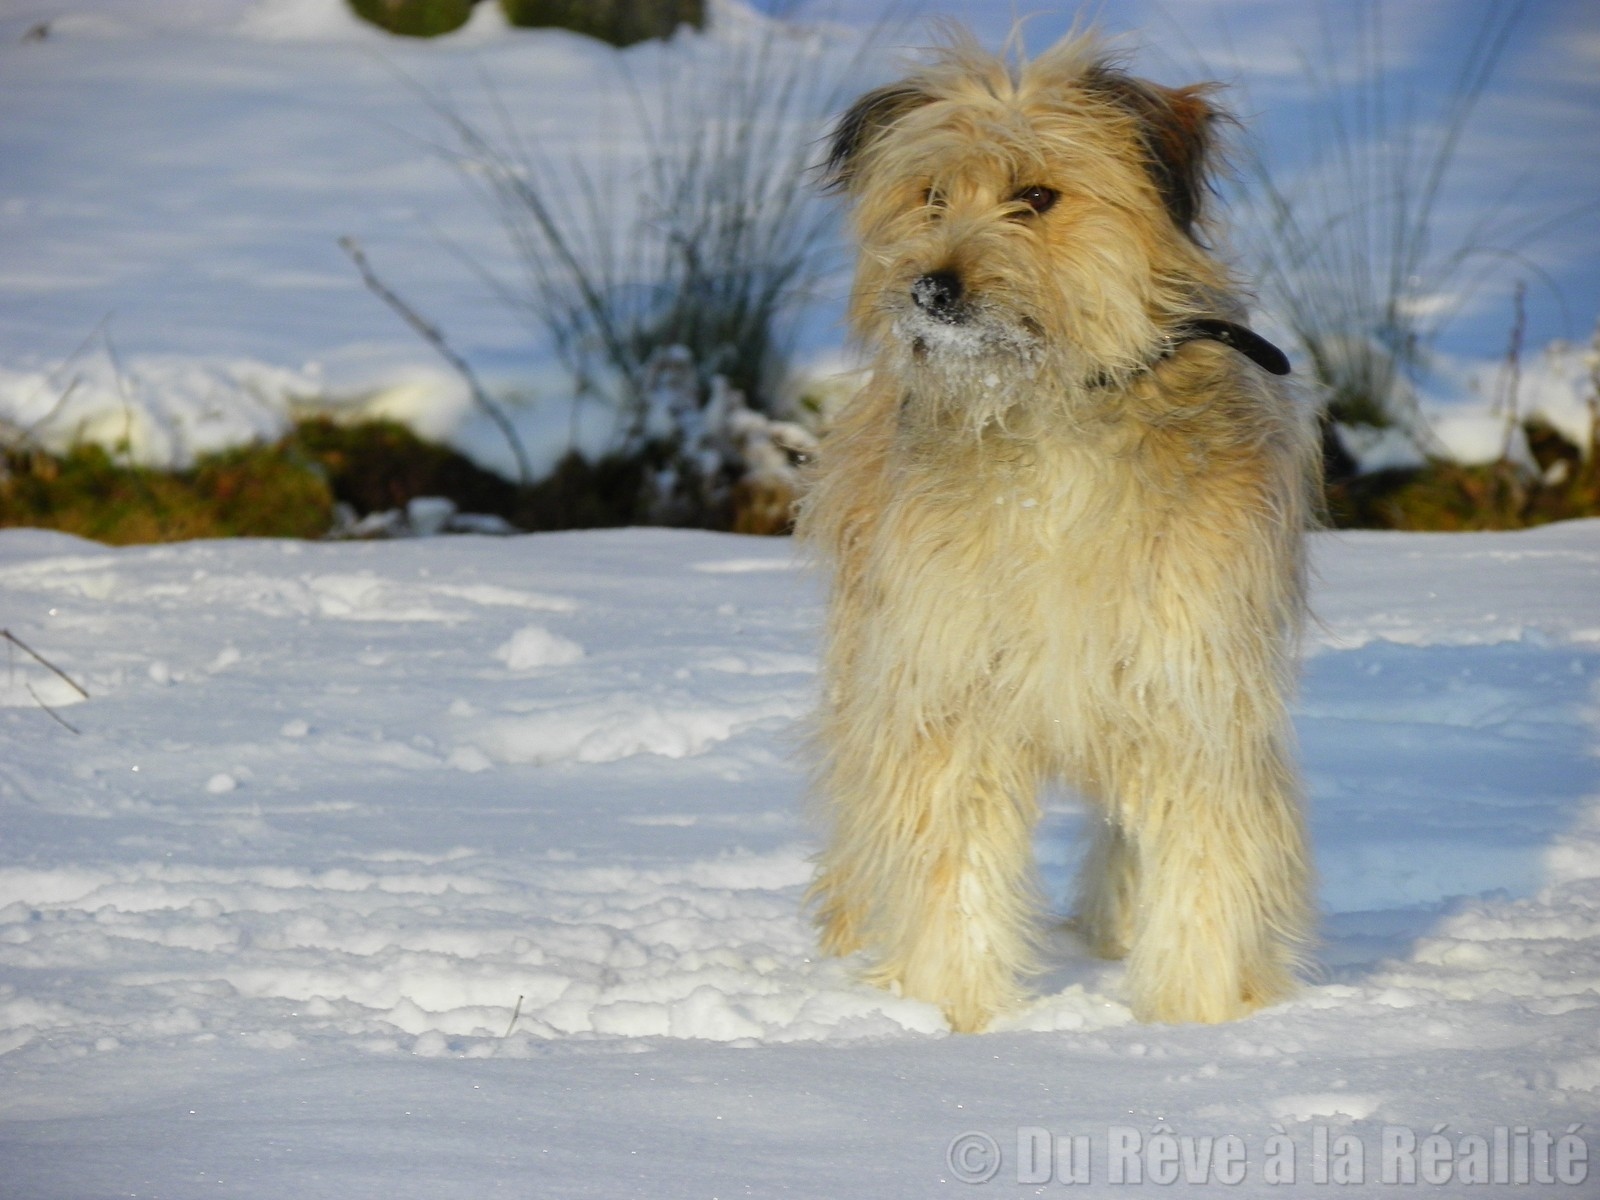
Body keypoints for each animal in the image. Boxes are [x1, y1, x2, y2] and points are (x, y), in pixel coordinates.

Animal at [797, 30, 1318, 1032]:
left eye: (1036, 197)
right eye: (930, 194)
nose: (931, 289)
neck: (1053, 420)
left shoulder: (1193, 688)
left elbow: (1206, 865)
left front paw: (1196, 1021)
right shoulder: (946, 682)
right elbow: (951, 864)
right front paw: (949, 1016)